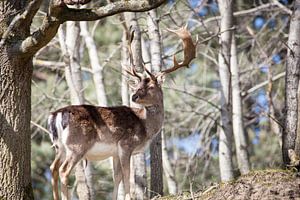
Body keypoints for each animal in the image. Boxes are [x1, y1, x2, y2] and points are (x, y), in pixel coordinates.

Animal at [48, 27, 196, 200]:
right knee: (64, 170)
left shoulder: (114, 152)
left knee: (53, 168)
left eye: (151, 87)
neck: (145, 127)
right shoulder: (126, 144)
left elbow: (117, 176)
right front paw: (129, 196)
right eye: (137, 86)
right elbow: (127, 175)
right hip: (77, 144)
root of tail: (55, 115)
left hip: (59, 146)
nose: (134, 96)